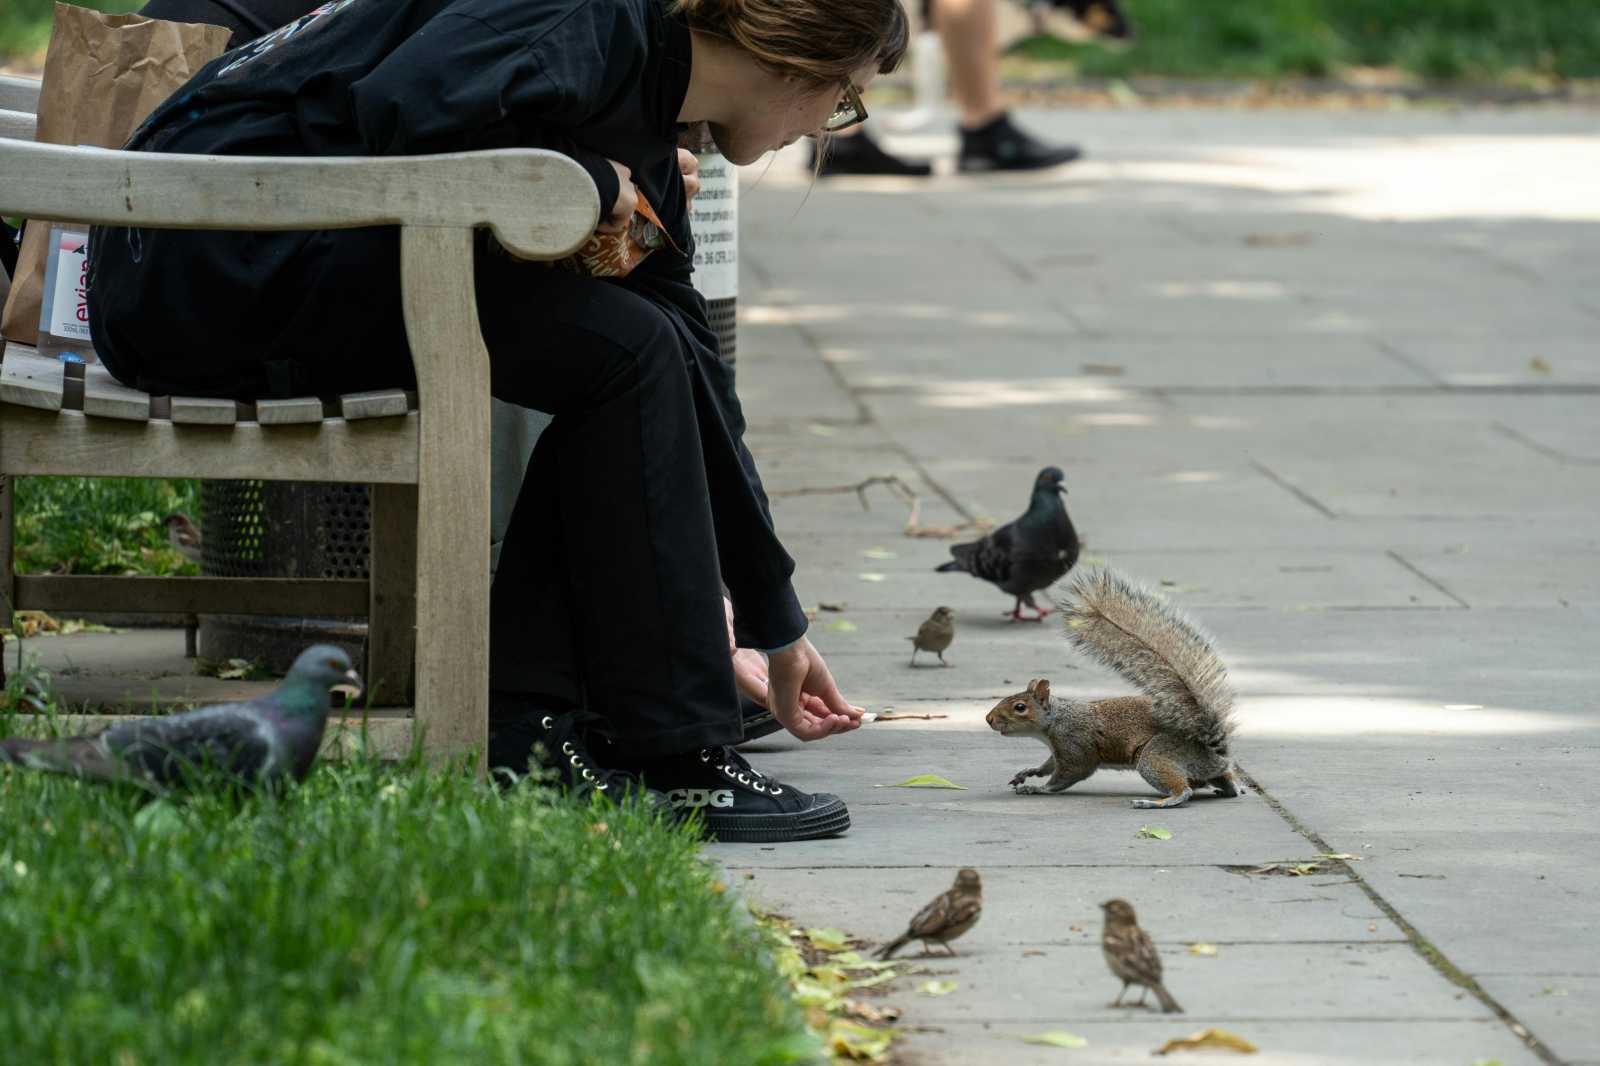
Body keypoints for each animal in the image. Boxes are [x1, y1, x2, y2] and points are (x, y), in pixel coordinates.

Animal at [979, 563, 1241, 806]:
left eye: (1020, 707)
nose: (989, 719)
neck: (1055, 721)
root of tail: (1214, 750)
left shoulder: (1074, 745)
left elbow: (1068, 774)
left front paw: (1037, 788)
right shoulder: (1058, 751)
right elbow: (1048, 765)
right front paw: (1029, 772)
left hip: (1156, 755)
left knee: (1184, 790)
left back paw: (1158, 802)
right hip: (1198, 767)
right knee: (1222, 780)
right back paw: (1232, 787)